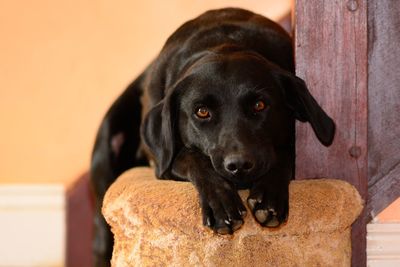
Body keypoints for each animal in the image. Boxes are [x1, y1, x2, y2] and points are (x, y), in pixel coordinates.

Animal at [90, 7, 334, 266]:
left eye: (259, 105)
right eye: (202, 111)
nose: (239, 165)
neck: (225, 42)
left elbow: (284, 154)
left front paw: (269, 196)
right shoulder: (162, 164)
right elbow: (192, 157)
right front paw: (221, 206)